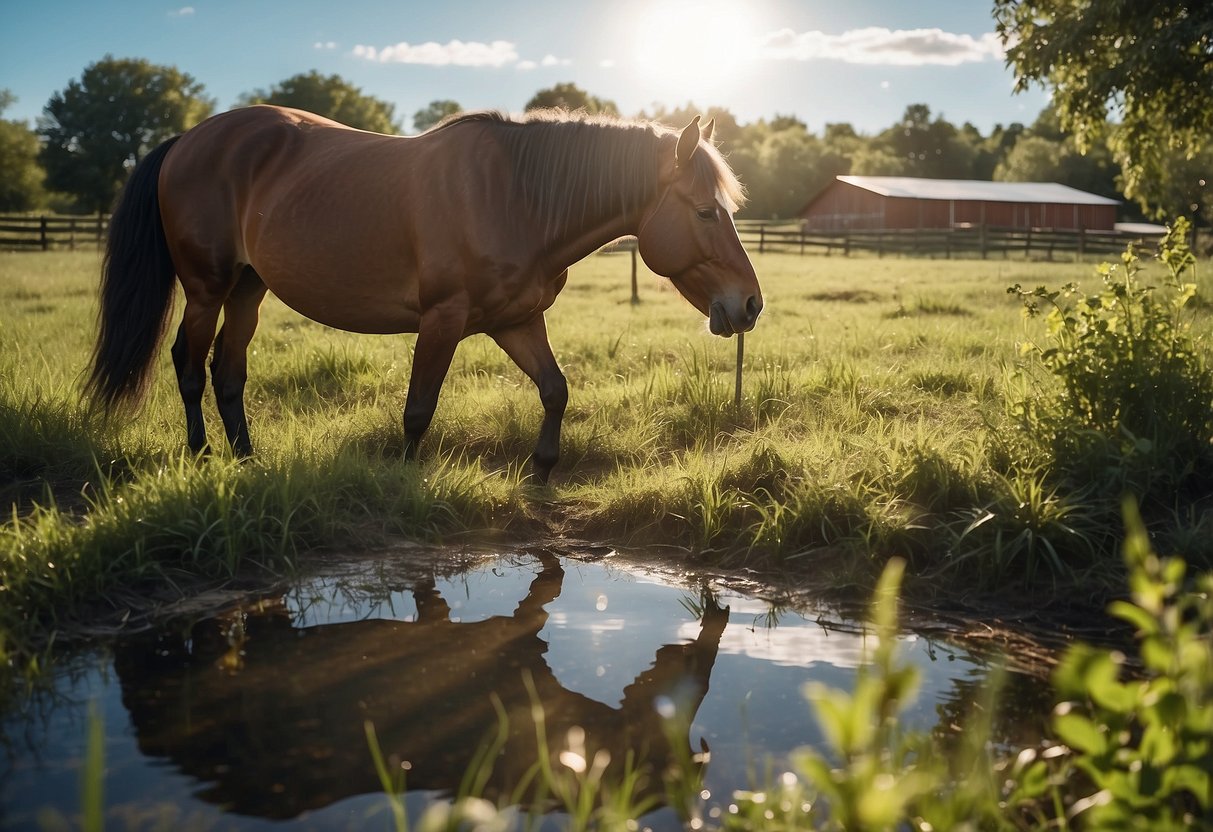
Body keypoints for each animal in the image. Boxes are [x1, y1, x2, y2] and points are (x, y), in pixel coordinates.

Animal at [89, 106, 761, 482]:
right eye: (705, 212)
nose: (750, 304)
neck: (514, 197)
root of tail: (185, 141)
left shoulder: (517, 321)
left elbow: (555, 391)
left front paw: (541, 473)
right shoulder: (442, 320)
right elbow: (418, 410)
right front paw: (406, 487)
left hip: (248, 292)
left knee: (229, 373)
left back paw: (247, 460)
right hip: (206, 289)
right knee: (188, 363)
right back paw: (203, 457)